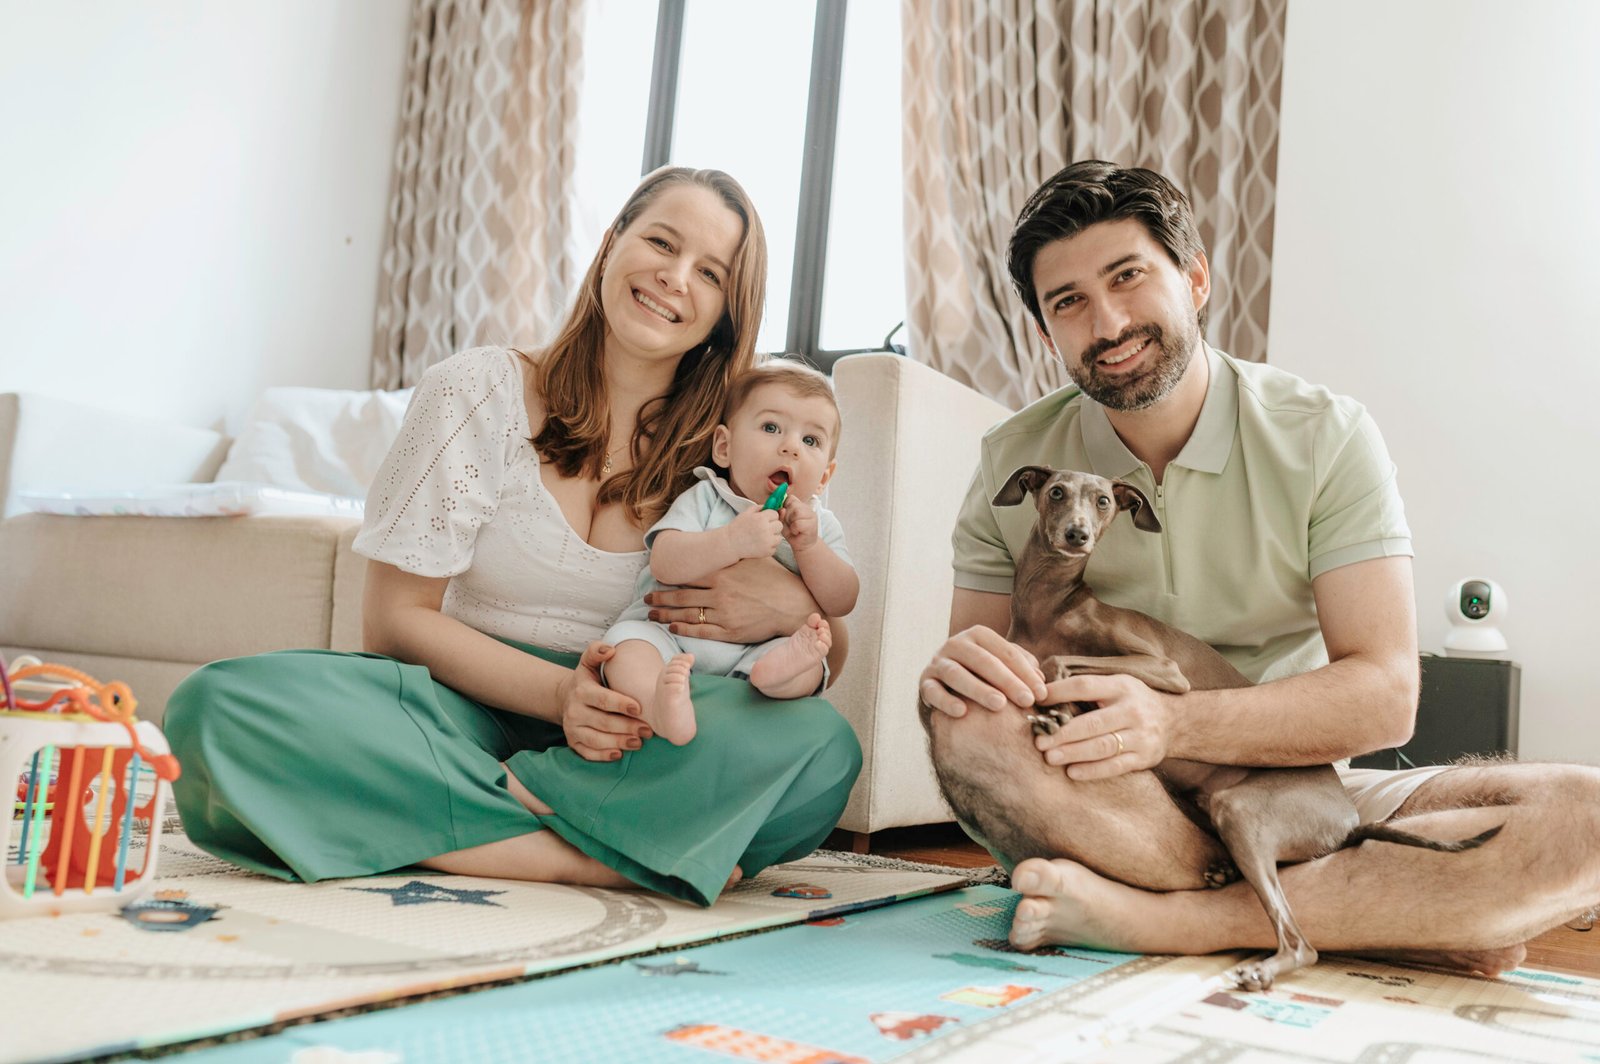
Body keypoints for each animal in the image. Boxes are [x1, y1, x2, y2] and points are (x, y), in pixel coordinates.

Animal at [987, 464, 1501, 990]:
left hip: (1241, 811)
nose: (1078, 534)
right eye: (1056, 492)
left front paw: (1060, 708)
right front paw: (1061, 713)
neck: (1052, 605)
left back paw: (1261, 967)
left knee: (1301, 943)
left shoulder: (1164, 669)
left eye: (1104, 501)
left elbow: (1059, 663)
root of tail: (1348, 824)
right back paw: (1220, 876)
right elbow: (1056, 670)